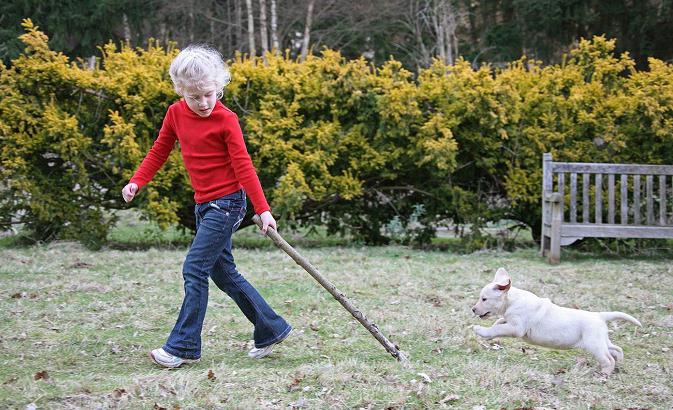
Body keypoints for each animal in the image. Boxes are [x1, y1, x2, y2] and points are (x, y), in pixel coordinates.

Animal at [472, 268, 640, 376]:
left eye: (484, 299)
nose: (473, 310)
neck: (511, 300)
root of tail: (600, 316)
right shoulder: (510, 321)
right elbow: (499, 322)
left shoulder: (516, 328)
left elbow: (498, 329)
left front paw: (480, 330)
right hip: (601, 340)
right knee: (616, 349)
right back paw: (619, 362)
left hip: (594, 344)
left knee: (607, 358)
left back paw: (604, 374)